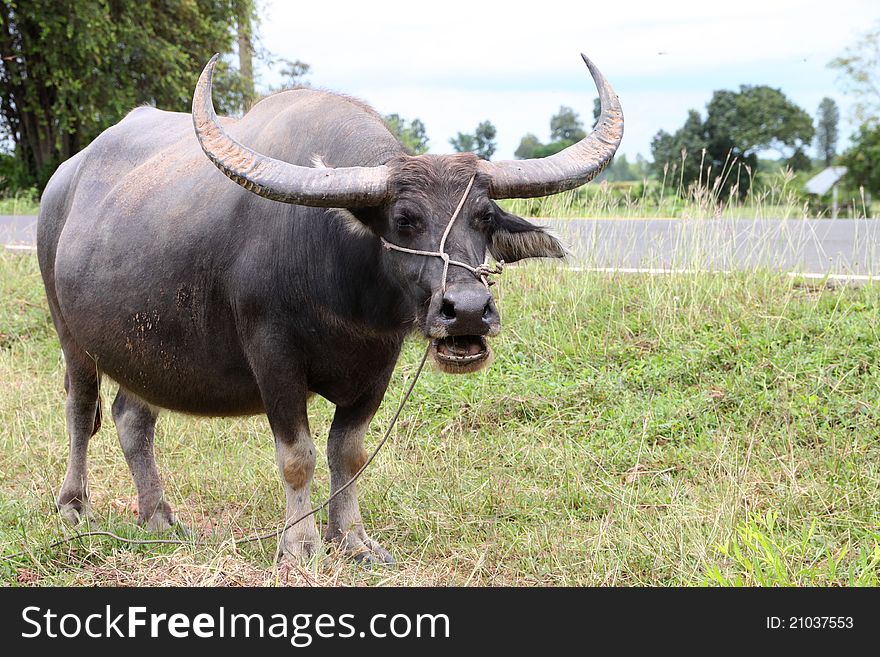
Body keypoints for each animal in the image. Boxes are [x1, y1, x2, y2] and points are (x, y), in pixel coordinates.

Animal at [36, 53, 624, 560]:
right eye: (404, 218)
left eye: (483, 217)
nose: (469, 309)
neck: (342, 293)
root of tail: (61, 183)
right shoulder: (273, 356)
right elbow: (298, 456)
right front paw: (299, 547)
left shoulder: (379, 364)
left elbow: (349, 452)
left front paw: (355, 541)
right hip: (72, 337)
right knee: (79, 410)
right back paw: (73, 506)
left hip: (143, 349)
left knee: (132, 419)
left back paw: (158, 515)